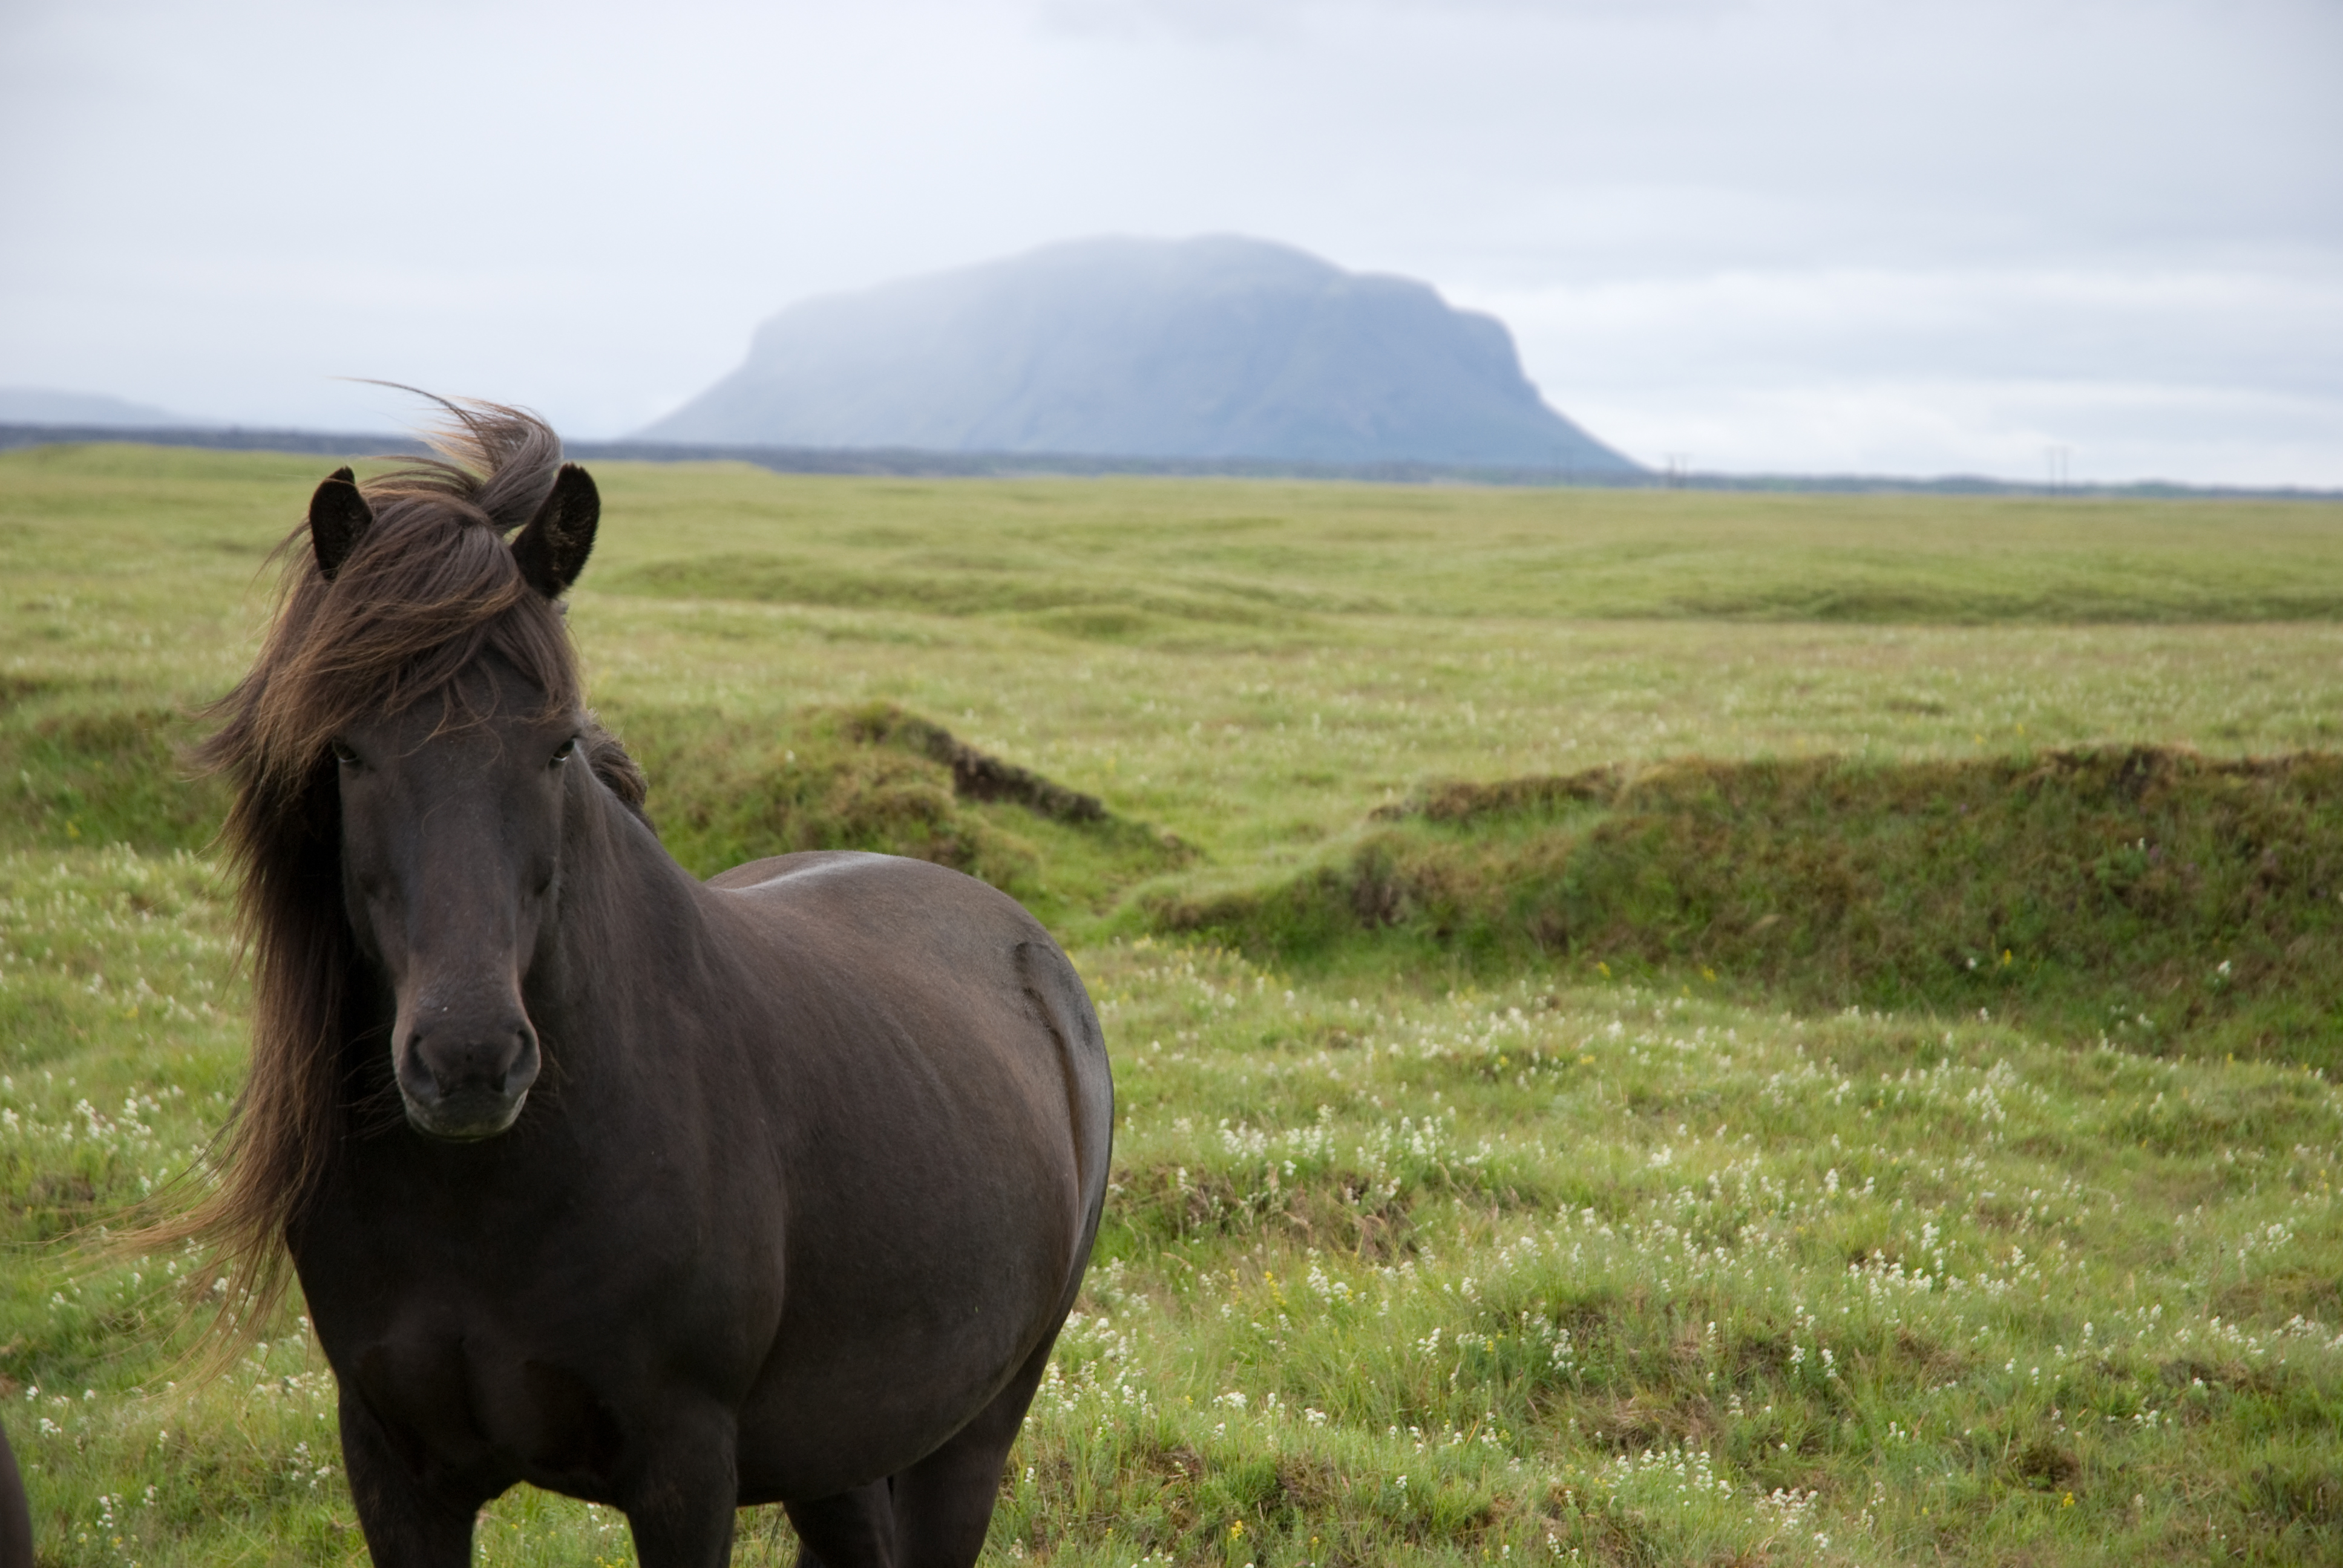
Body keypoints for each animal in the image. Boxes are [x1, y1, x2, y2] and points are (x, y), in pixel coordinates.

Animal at [182, 400, 1113, 1567]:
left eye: (556, 747)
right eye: (348, 752)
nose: (469, 1061)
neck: (480, 1203)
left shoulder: (683, 1470)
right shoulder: (393, 1467)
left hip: (973, 1431)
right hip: (841, 1447)